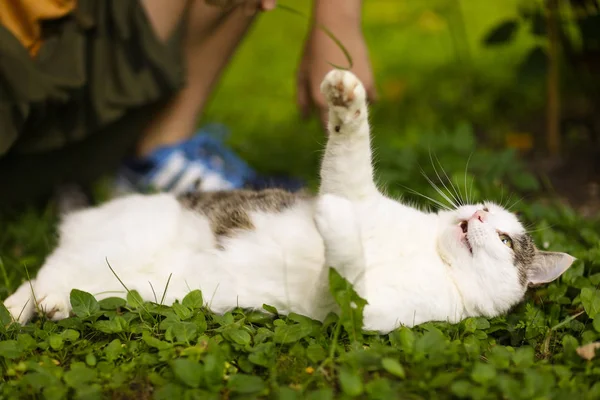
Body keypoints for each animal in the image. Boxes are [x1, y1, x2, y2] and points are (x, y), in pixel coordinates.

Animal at [2, 69, 576, 334]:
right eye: (485, 211)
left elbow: (346, 259)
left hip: (113, 285)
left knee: (51, 282)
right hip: (117, 242)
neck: (428, 253)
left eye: (504, 239)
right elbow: (351, 155)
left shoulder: (364, 313)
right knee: (39, 275)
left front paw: (330, 218)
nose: (475, 213)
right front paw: (345, 98)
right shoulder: (357, 190)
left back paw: (45, 307)